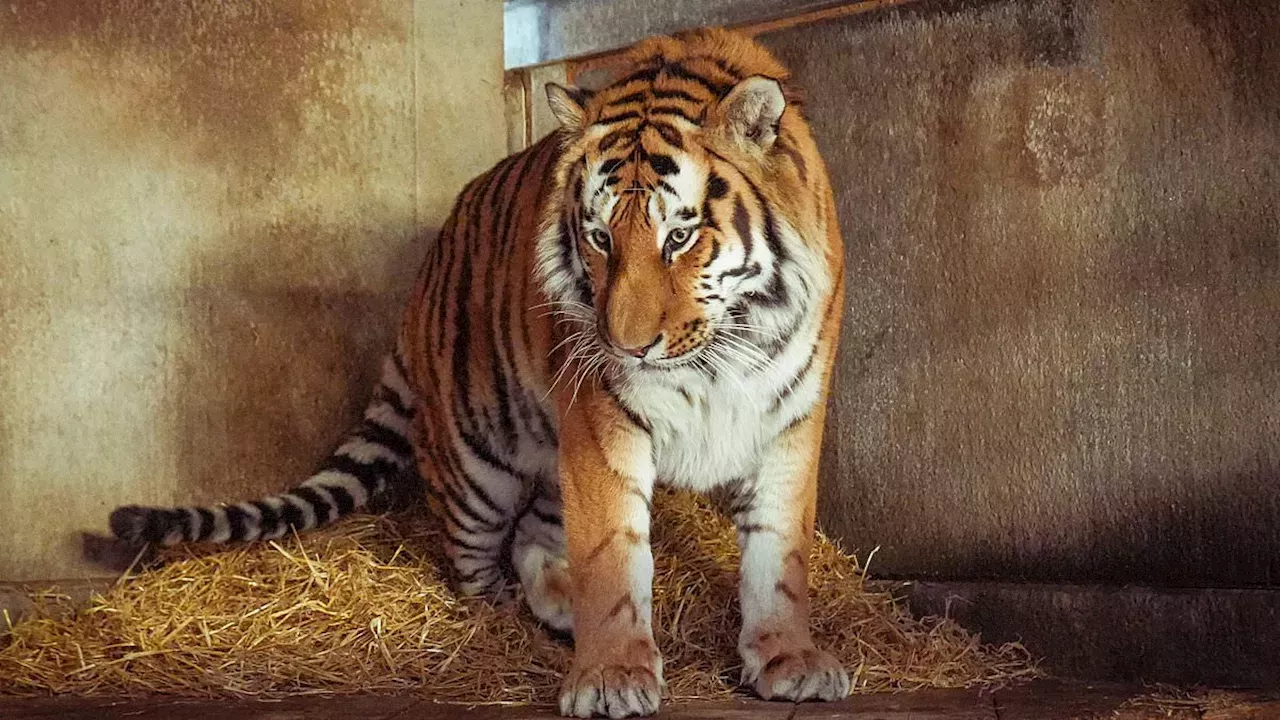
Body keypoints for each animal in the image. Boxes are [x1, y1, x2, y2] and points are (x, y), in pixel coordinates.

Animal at [108, 27, 848, 718]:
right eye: (600, 238)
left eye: (680, 237)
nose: (626, 346)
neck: (721, 352)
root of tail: (421, 284)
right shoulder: (602, 422)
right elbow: (611, 554)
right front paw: (611, 675)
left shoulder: (790, 418)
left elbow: (779, 553)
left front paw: (789, 659)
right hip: (477, 464)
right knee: (477, 561)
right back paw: (513, 613)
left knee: (533, 534)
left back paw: (558, 602)